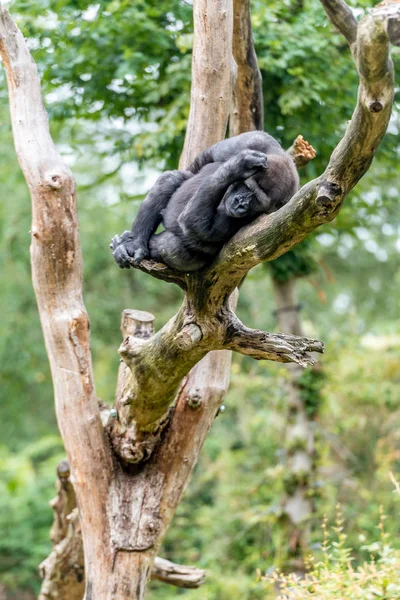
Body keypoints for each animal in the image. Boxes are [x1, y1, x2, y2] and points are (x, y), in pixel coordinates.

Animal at [111, 132, 298, 274]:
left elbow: (197, 225)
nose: (240, 203)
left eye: (257, 199)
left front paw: (236, 167)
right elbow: (205, 158)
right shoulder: (255, 140)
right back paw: (134, 243)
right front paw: (239, 165)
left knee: (172, 245)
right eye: (247, 186)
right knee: (171, 179)